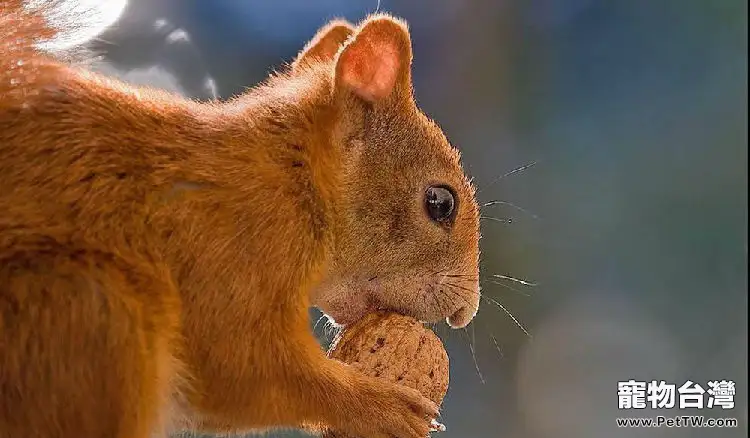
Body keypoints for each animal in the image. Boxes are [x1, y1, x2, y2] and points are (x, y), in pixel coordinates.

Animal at [0, 1, 482, 436]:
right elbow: (239, 367)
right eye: (440, 202)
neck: (295, 176)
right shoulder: (234, 243)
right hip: (93, 311)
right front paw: (382, 406)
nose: (466, 311)